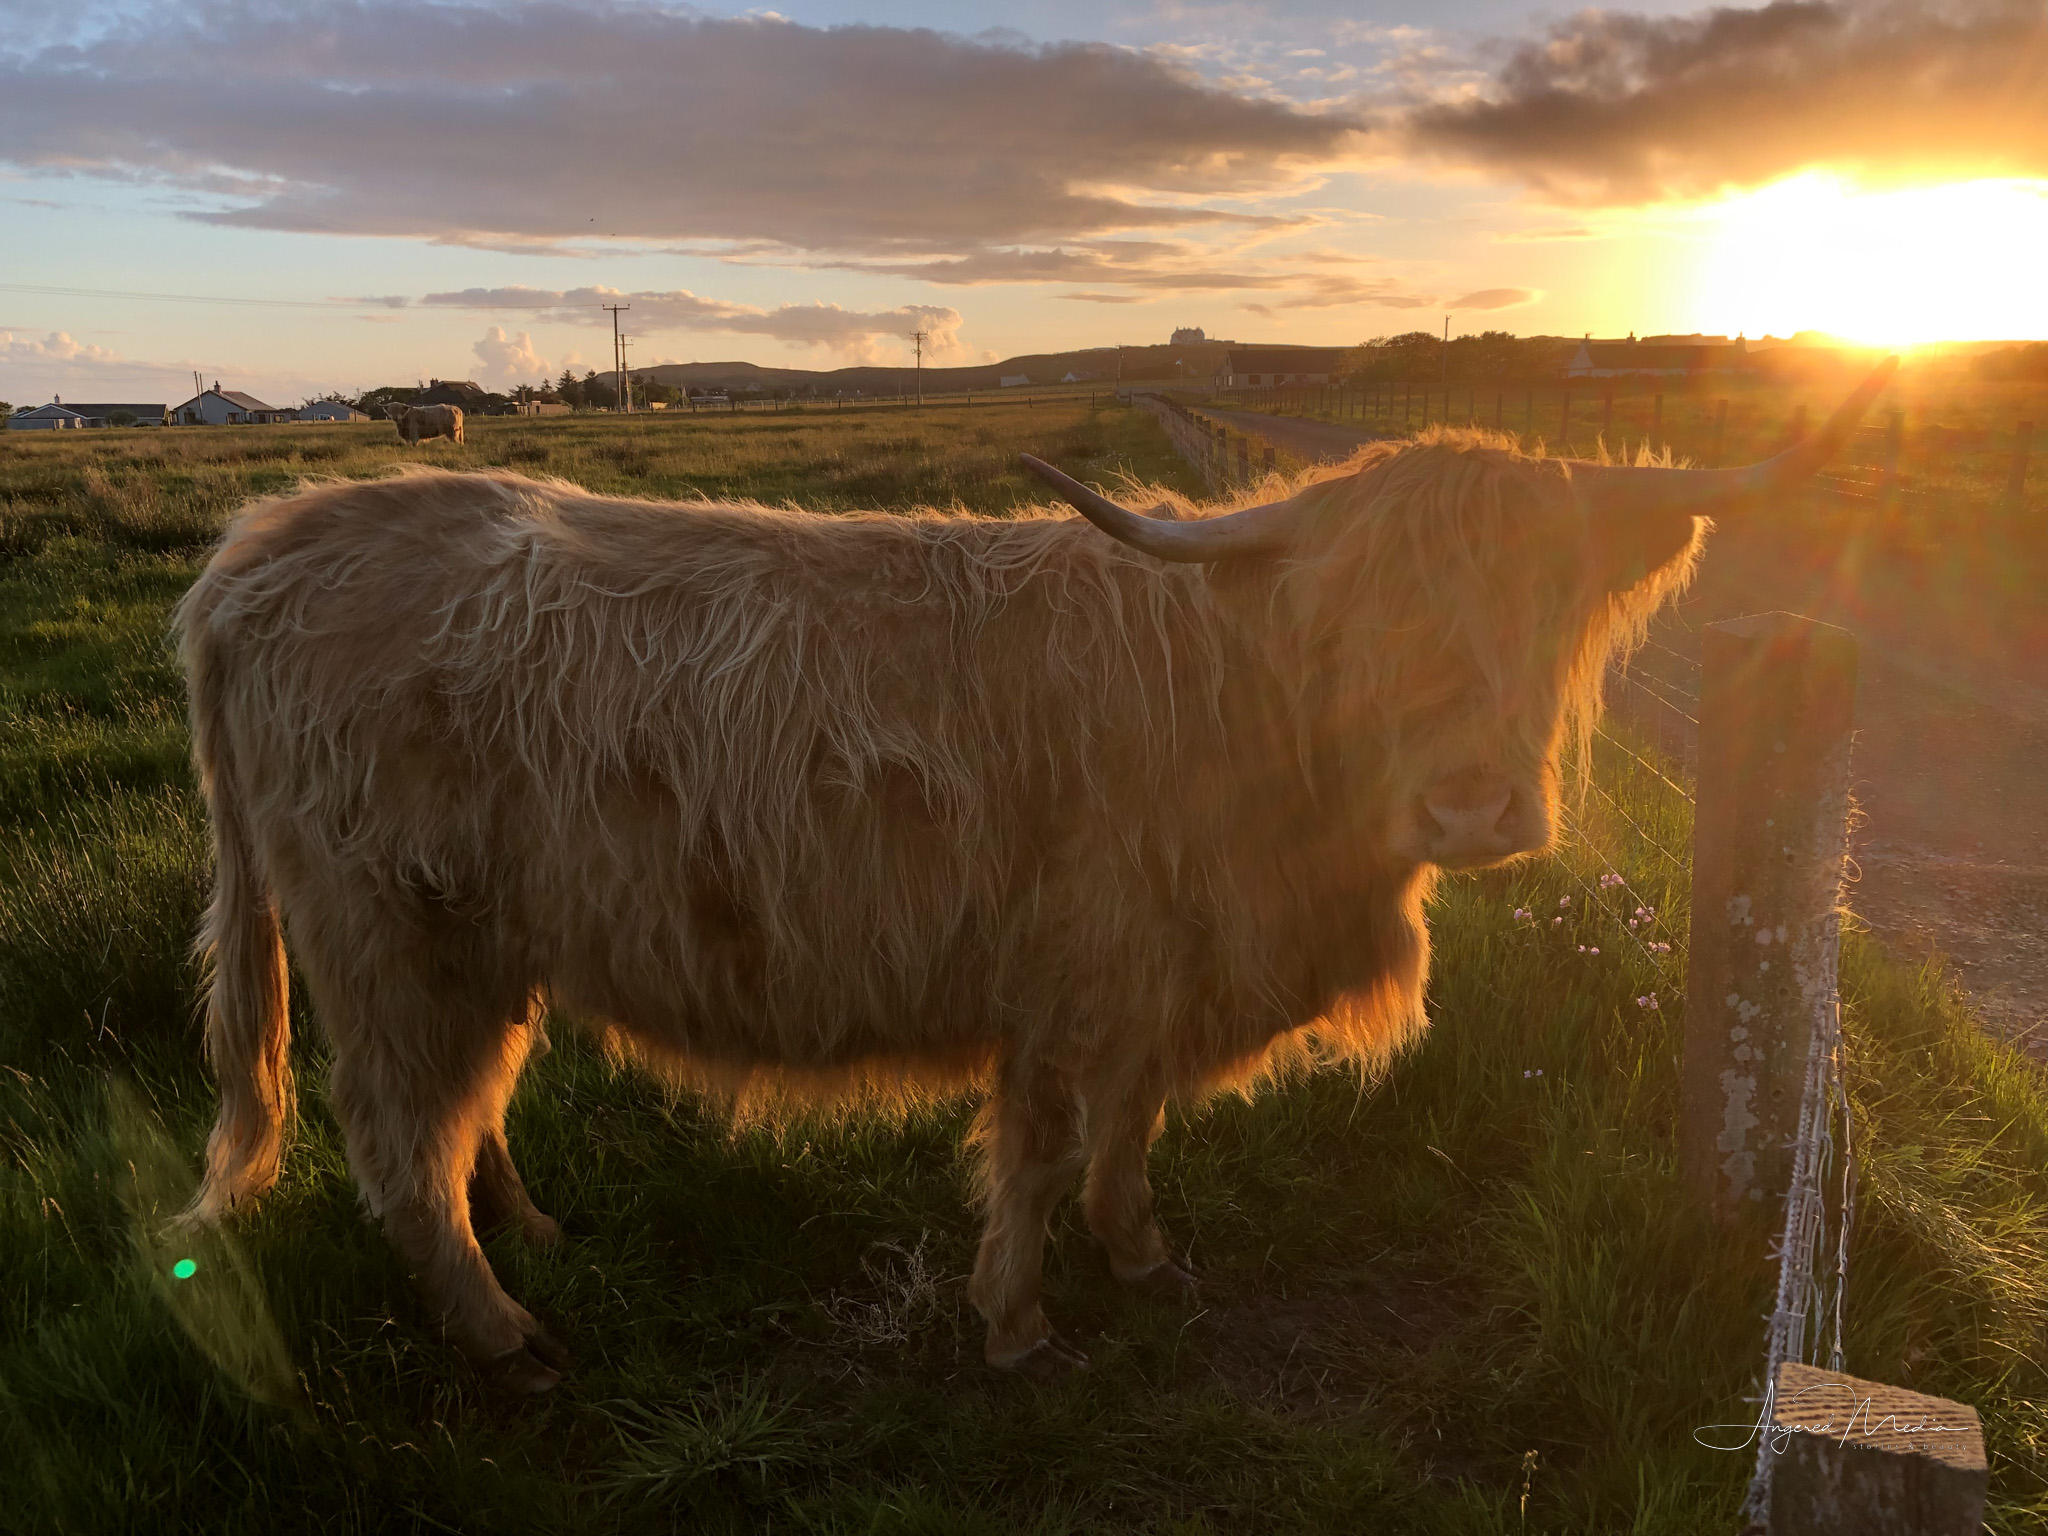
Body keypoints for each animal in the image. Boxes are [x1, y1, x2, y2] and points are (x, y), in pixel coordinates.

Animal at [184, 364, 1892, 1392]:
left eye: (1548, 597)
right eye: (1354, 617)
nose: (1472, 807)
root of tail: (261, 546)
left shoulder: (1154, 979)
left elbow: (1127, 1130)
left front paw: (1140, 1256)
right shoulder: (1079, 971)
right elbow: (1042, 1146)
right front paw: (1016, 1323)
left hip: (483, 948)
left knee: (469, 1109)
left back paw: (536, 1239)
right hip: (393, 941)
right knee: (402, 1138)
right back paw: (507, 1335)